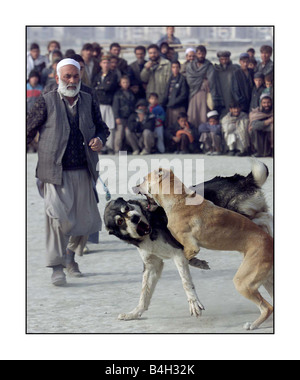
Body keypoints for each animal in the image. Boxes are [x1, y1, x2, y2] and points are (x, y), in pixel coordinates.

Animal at [103, 158, 272, 320]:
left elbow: (186, 280)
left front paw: (194, 303)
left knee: (265, 217)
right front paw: (134, 313)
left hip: (241, 213)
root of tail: (243, 179)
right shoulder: (152, 264)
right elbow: (145, 293)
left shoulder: (179, 252)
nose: (135, 219)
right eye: (120, 221)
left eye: (127, 208)